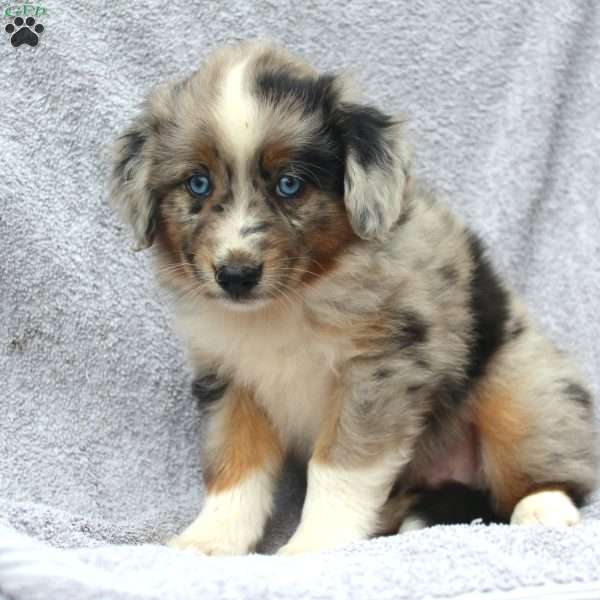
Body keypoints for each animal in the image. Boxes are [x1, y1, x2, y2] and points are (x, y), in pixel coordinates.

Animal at [110, 39, 596, 556]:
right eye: (197, 183)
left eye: (290, 184)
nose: (235, 276)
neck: (290, 300)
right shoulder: (230, 379)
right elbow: (236, 467)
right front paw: (210, 540)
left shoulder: (380, 370)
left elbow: (338, 470)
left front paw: (313, 546)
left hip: (524, 389)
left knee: (544, 466)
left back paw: (544, 506)